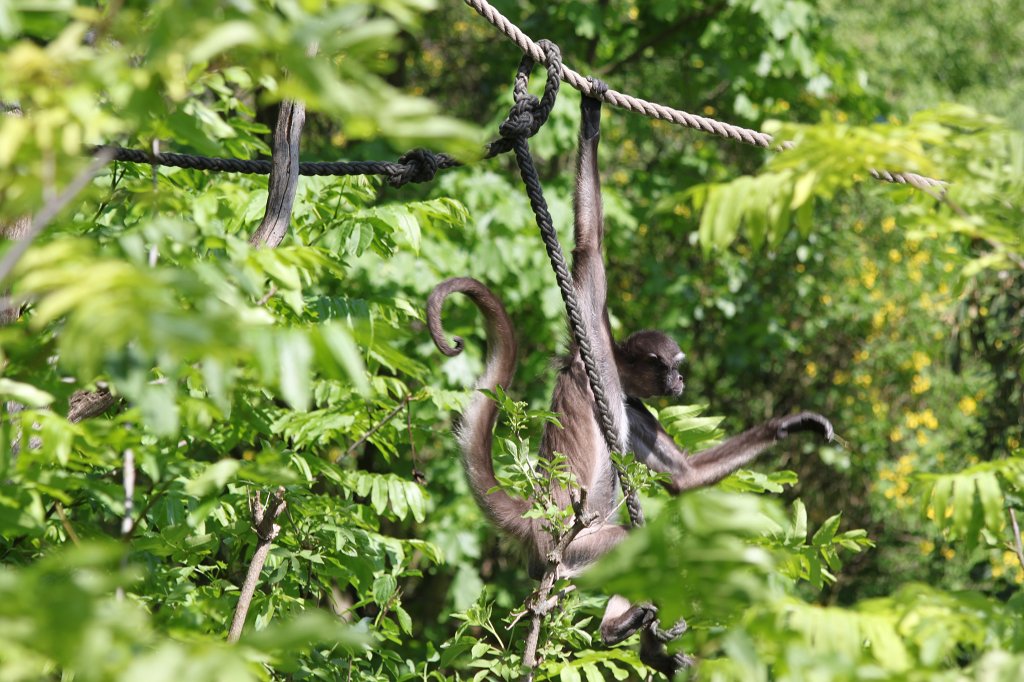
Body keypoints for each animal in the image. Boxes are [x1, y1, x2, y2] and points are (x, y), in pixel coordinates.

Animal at [427, 81, 834, 675]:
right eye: (676, 367)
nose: (681, 385)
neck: (614, 380)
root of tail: (536, 518)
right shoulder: (592, 334)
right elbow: (590, 247)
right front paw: (591, 117)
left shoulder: (635, 408)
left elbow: (685, 477)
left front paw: (792, 426)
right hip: (573, 546)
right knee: (643, 547)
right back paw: (629, 633)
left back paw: (628, 635)